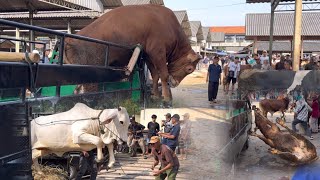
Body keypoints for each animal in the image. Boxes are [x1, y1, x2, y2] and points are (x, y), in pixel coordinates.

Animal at [62, 4, 200, 101]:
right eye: (190, 69)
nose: (175, 84)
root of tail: (69, 39)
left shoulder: (149, 55)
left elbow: (155, 75)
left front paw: (155, 95)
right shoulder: (158, 52)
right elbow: (163, 74)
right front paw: (167, 97)